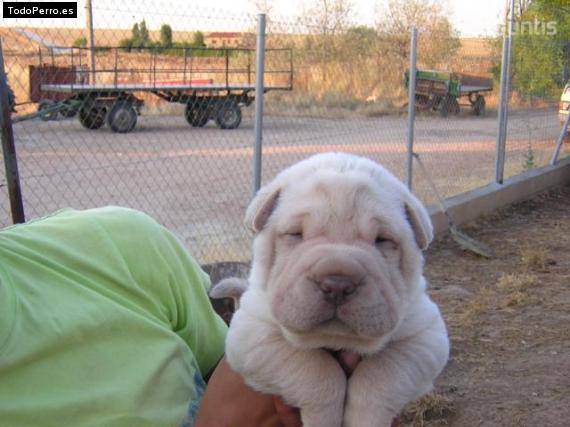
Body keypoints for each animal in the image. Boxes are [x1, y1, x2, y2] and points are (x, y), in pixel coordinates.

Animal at [213, 154, 448, 427]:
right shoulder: (252, 333)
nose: (337, 284)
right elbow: (315, 368)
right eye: (295, 234)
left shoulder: (425, 336)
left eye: (382, 240)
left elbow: (381, 373)